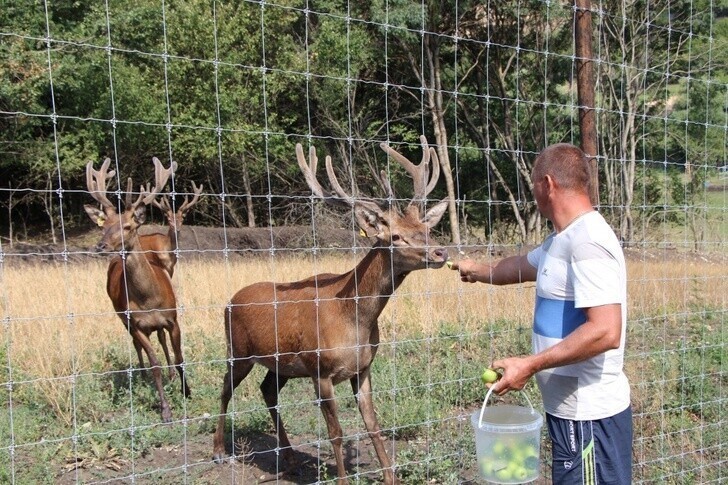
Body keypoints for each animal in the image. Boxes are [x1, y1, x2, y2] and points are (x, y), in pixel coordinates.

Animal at [84, 157, 192, 422]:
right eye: (104, 225)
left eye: (128, 226)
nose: (100, 246)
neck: (148, 299)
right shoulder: (136, 323)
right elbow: (154, 364)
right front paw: (165, 410)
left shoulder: (172, 318)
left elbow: (179, 357)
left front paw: (186, 390)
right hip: (122, 318)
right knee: (136, 345)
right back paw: (141, 376)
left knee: (161, 340)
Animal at [210, 134, 450, 482]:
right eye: (395, 236)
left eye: (426, 228)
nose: (440, 252)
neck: (353, 319)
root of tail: (229, 301)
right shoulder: (320, 369)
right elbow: (336, 433)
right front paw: (343, 477)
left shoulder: (363, 368)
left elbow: (374, 425)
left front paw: (390, 477)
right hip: (239, 349)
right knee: (226, 388)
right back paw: (218, 451)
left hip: (280, 363)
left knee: (267, 390)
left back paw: (291, 459)